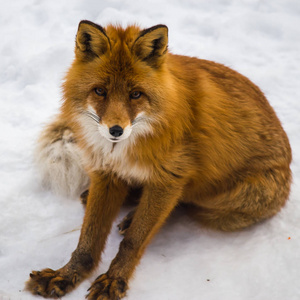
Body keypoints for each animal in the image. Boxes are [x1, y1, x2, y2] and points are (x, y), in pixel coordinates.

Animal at [26, 19, 290, 298]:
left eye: (135, 94)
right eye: (99, 91)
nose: (116, 130)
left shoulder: (169, 179)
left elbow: (133, 242)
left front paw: (114, 280)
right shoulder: (105, 172)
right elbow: (88, 240)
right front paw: (66, 275)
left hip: (233, 203)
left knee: (182, 204)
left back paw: (134, 215)